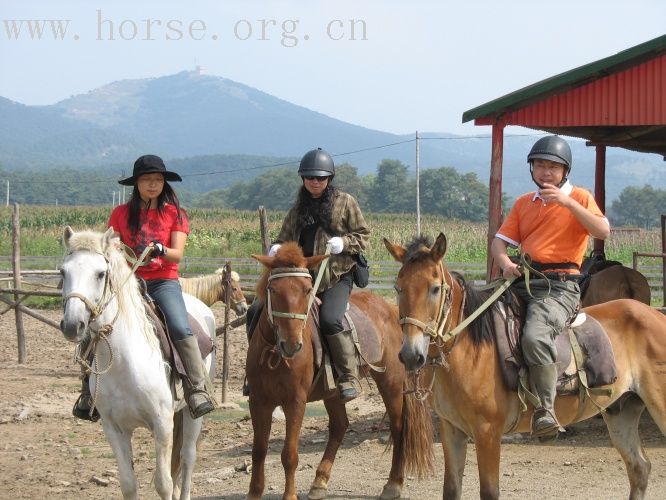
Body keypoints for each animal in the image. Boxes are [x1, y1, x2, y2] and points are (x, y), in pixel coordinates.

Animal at [59, 228, 214, 500]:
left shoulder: (162, 424)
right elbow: (129, 484)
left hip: (191, 414)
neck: (124, 363)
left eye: (101, 273)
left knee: (187, 458)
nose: (72, 325)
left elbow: (163, 483)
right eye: (63, 272)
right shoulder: (114, 429)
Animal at [246, 242, 434, 500]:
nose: (292, 345)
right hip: (333, 392)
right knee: (339, 426)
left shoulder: (295, 402)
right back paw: (319, 482)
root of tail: (391, 309)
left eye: (307, 290)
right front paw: (254, 493)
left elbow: (289, 455)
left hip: (391, 382)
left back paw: (393, 484)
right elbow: (259, 451)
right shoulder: (257, 401)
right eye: (272, 289)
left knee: (398, 428)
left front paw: (290, 495)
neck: (274, 353)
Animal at [382, 234, 664, 500]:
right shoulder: (452, 430)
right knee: (639, 468)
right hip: (621, 411)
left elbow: (489, 492)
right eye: (398, 287)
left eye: (435, 288)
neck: (470, 348)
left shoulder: (487, 433)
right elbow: (451, 490)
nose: (411, 355)